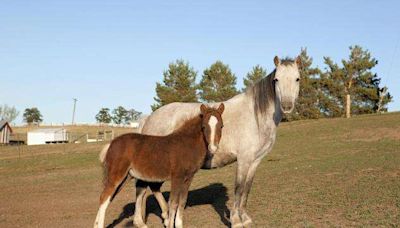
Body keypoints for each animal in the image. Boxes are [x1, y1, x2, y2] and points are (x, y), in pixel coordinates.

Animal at [94, 104, 225, 228]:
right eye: (203, 127)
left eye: (221, 126)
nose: (213, 148)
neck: (187, 144)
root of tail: (111, 143)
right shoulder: (177, 177)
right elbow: (173, 203)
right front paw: (170, 224)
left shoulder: (189, 177)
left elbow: (182, 202)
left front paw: (178, 224)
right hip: (117, 175)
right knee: (104, 198)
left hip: (126, 177)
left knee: (107, 198)